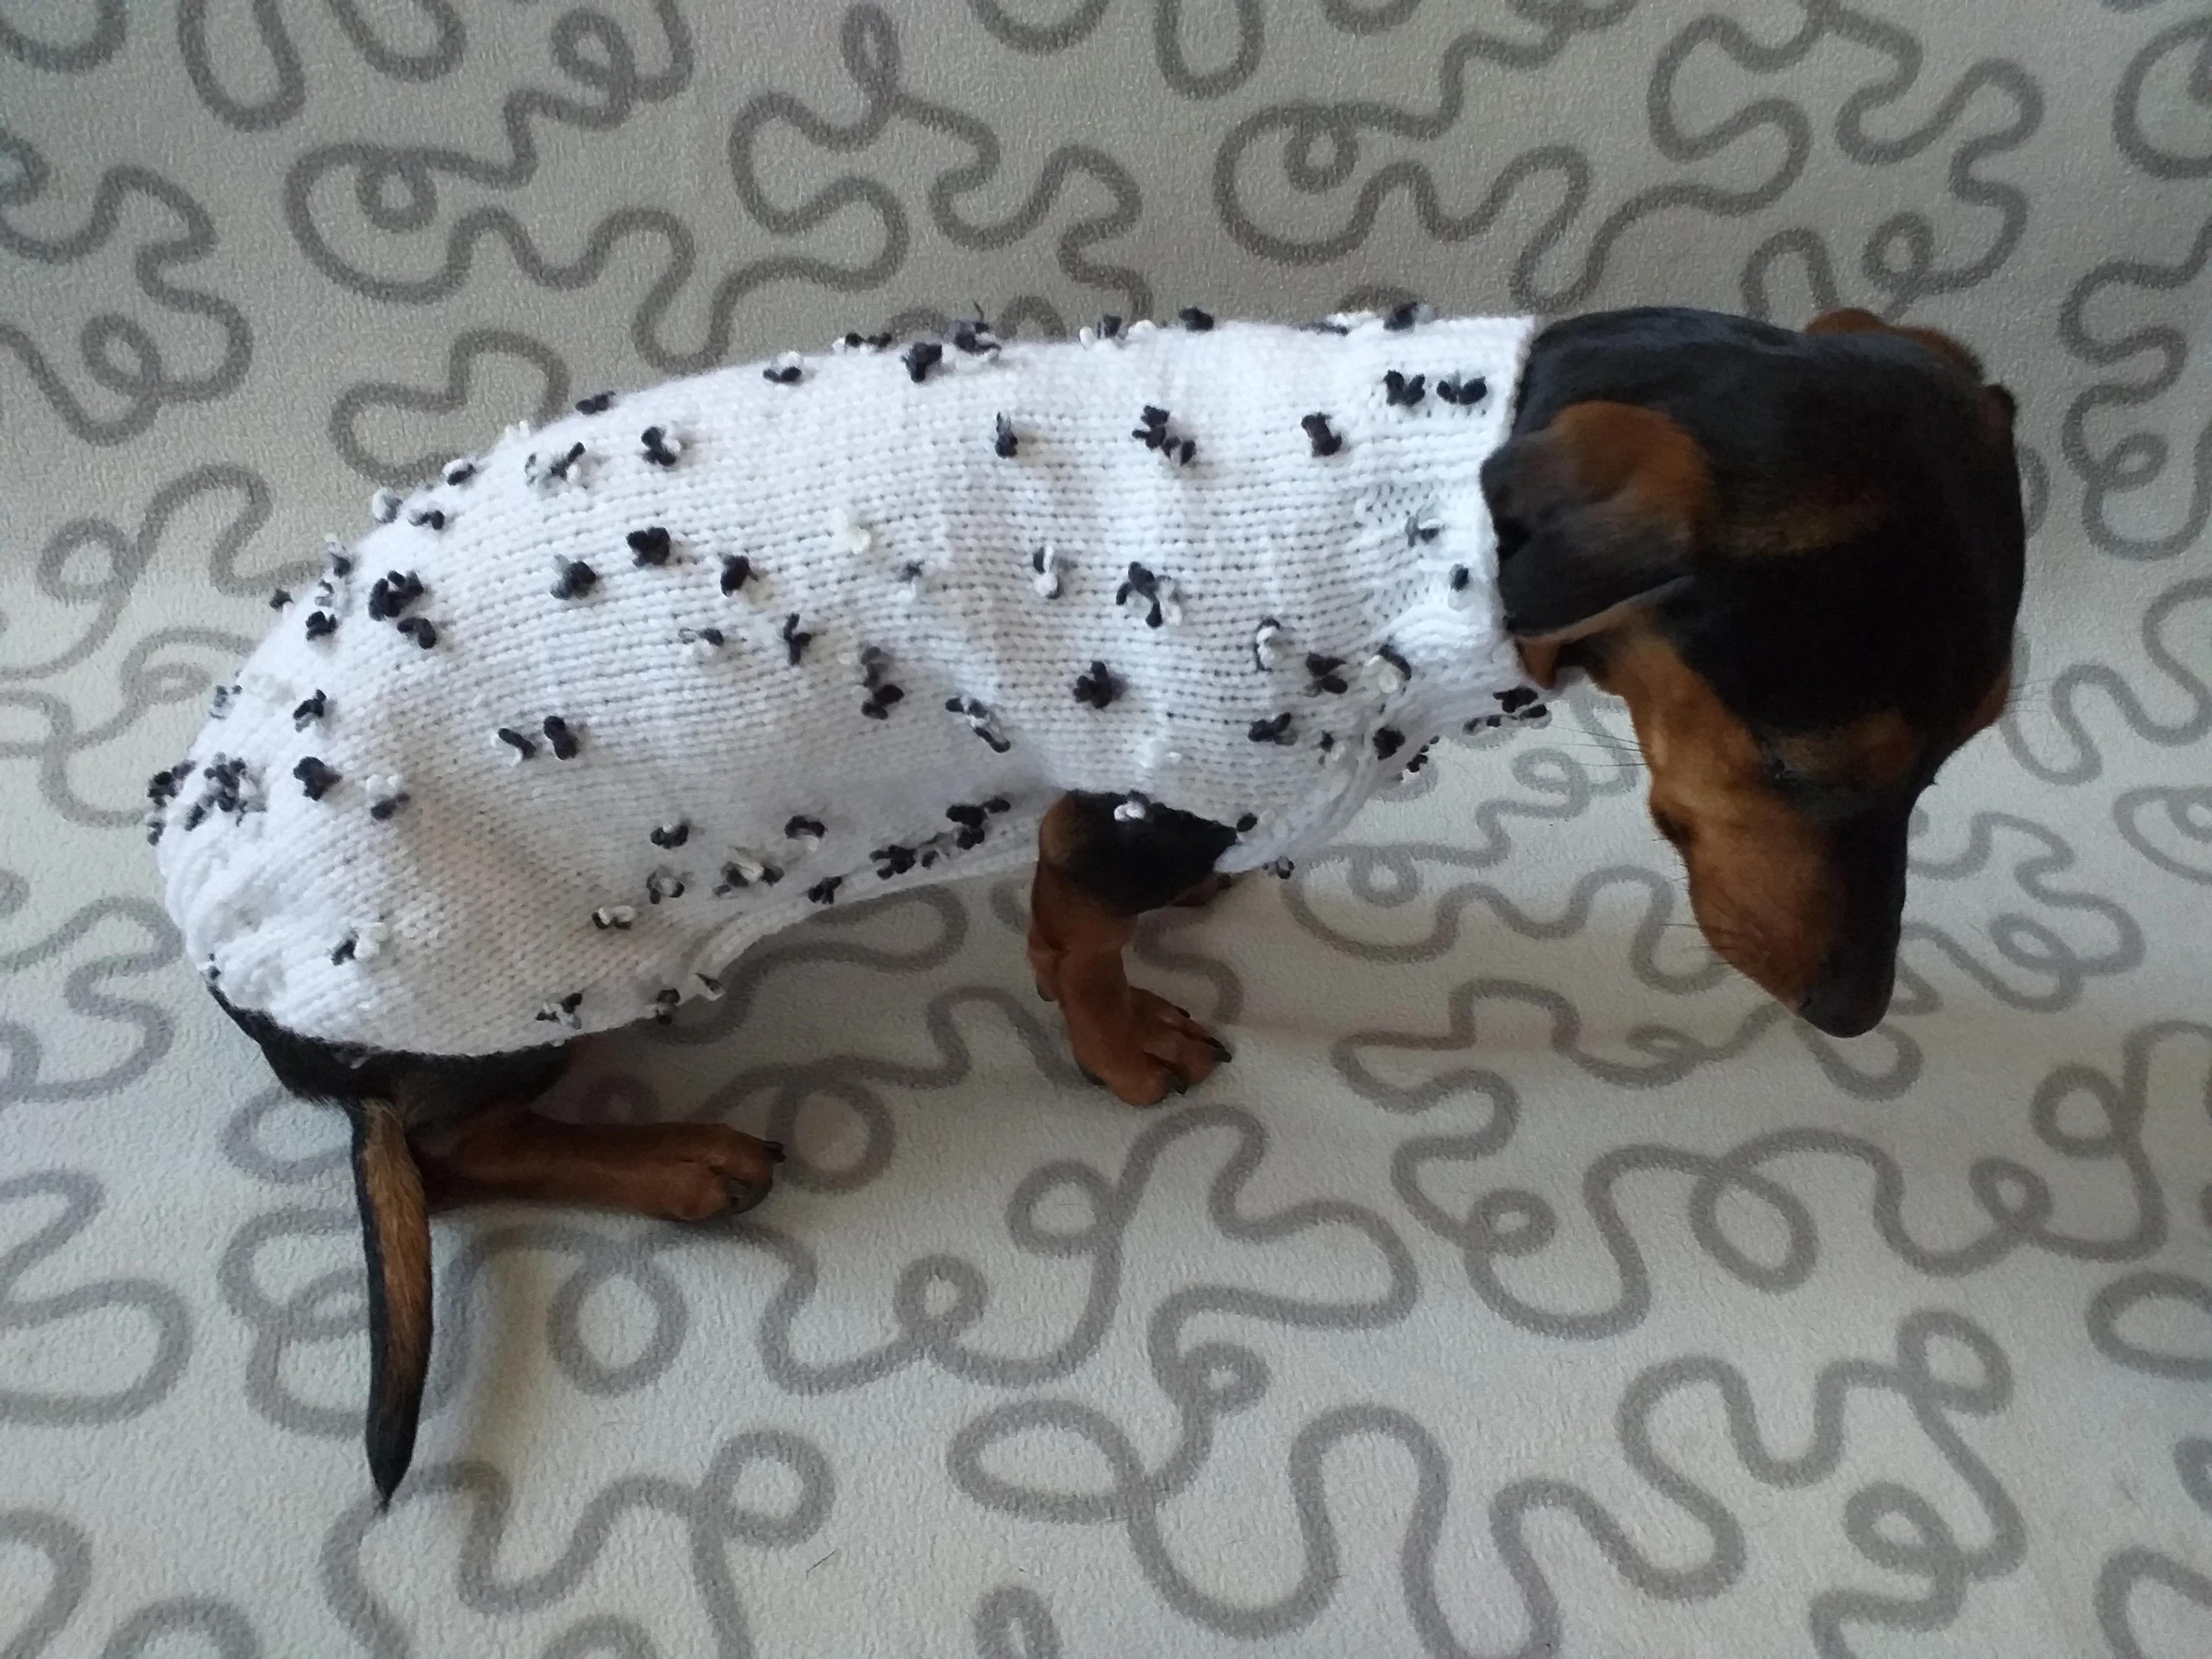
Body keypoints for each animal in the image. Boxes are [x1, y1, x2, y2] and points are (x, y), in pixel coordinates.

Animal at [220, 303, 2026, 1504]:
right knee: (456, 1159)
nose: (1855, 1011)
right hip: (532, 993)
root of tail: (257, 1000)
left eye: (1967, 743)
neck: (1439, 491)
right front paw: (1120, 1043)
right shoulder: (1149, 792)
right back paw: (671, 1161)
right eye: (1805, 768)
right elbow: (1073, 924)